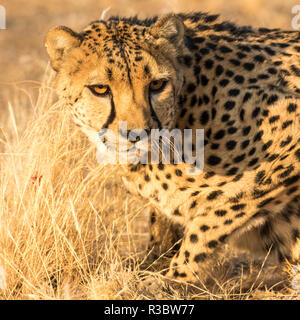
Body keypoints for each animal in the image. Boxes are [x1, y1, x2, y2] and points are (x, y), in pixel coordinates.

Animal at [45, 11, 300, 282]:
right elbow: (164, 222)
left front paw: (174, 278)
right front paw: (151, 264)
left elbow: (211, 221)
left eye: (157, 85)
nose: (137, 134)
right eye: (100, 89)